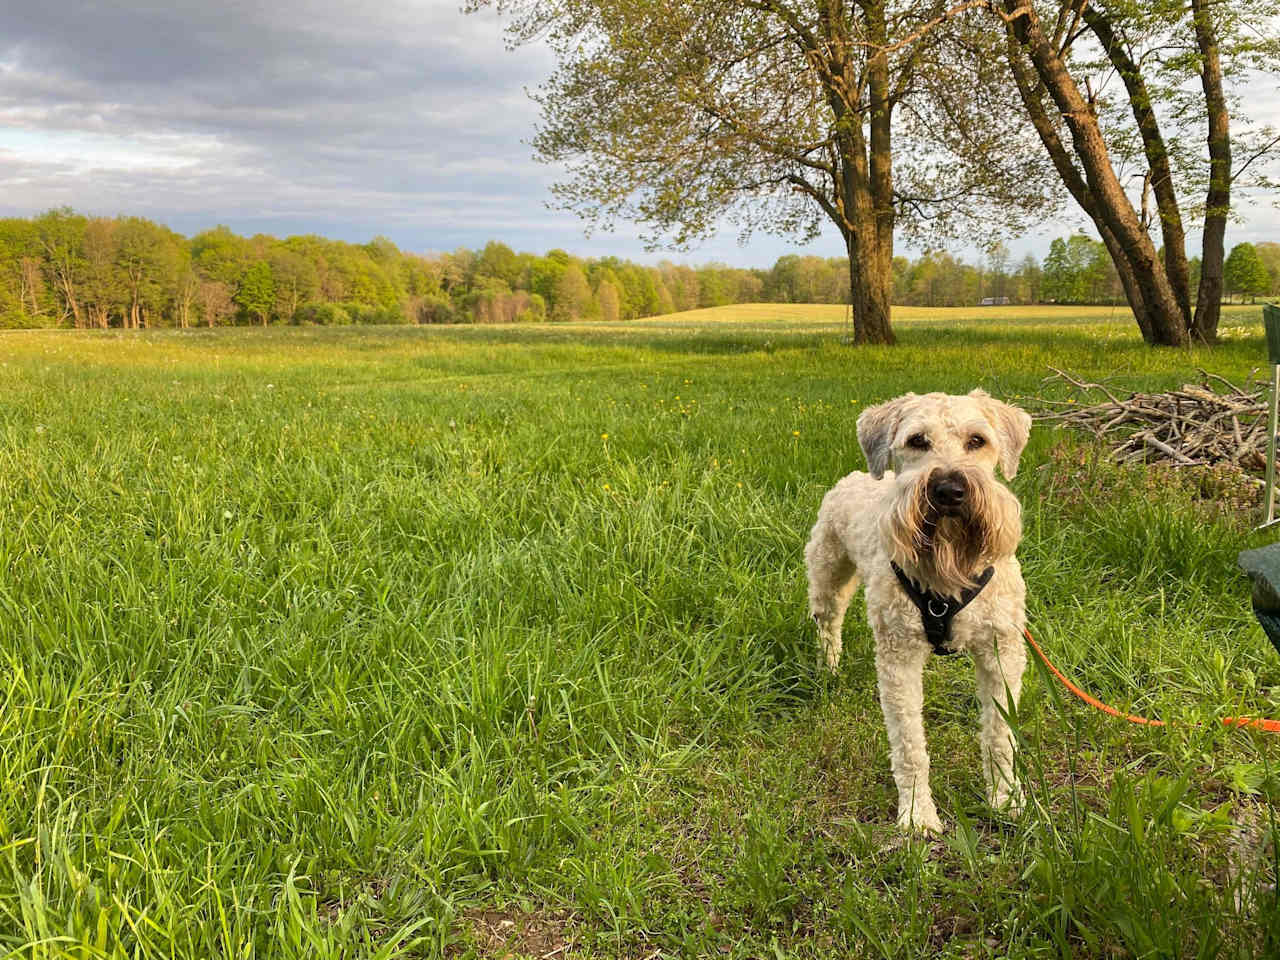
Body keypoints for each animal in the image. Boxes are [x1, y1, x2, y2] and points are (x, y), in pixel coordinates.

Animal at [803, 391, 1034, 834]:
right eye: (917, 441)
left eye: (977, 440)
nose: (949, 489)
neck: (948, 573)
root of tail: (854, 477)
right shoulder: (900, 655)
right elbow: (910, 745)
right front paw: (917, 816)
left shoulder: (1002, 651)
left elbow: (1000, 734)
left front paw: (1006, 798)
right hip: (827, 572)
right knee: (829, 622)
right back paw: (829, 668)